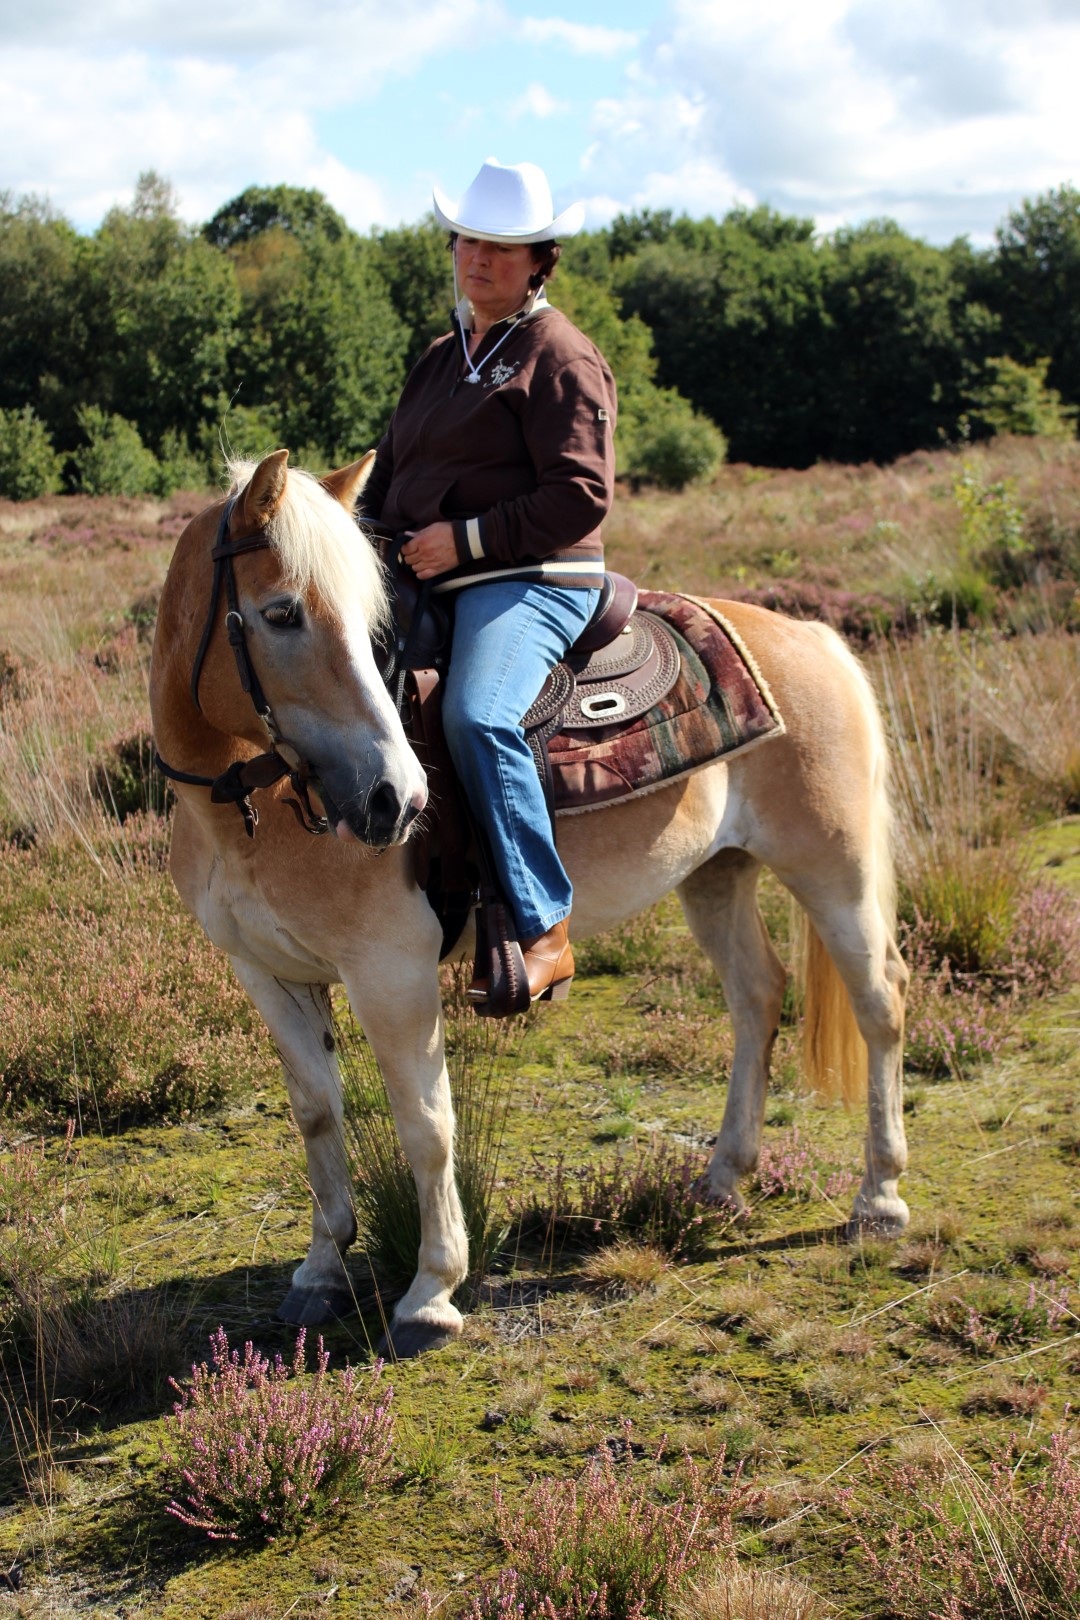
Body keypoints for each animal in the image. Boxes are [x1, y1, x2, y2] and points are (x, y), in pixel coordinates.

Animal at [149, 449, 909, 1358]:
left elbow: (426, 1122)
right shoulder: (267, 975)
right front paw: (321, 1272)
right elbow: (316, 1117)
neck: (248, 813)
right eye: (283, 613)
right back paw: (723, 1179)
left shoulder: (390, 973)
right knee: (757, 997)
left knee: (879, 1004)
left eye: (369, 620)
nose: (397, 799)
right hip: (715, 875)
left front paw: (432, 1292)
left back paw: (880, 1199)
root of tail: (815, 636)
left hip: (833, 867)